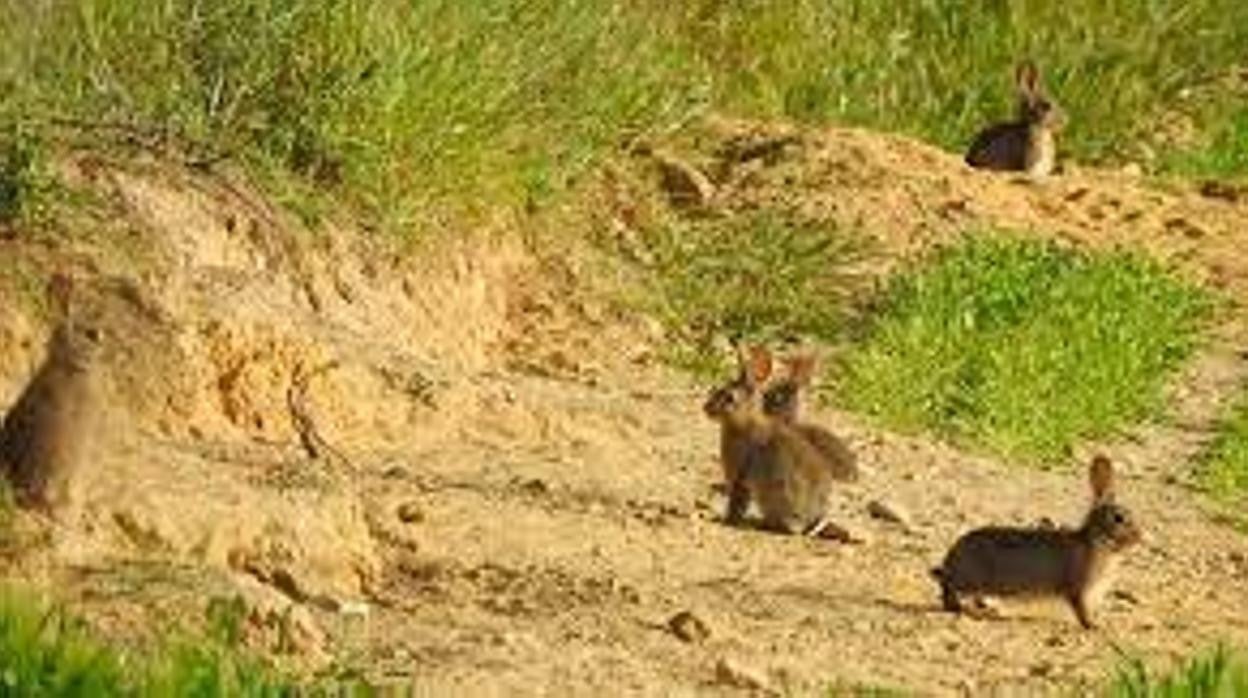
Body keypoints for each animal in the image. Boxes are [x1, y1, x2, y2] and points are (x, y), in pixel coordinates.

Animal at [703, 344, 838, 534]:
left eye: (729, 398)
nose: (706, 408)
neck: (745, 422)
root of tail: (811, 521)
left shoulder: (740, 475)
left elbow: (737, 501)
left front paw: (726, 520)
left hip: (774, 493)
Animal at [933, 457, 1143, 631]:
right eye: (1118, 518)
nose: (1139, 537)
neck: (1097, 541)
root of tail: (950, 558)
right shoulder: (1077, 588)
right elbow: (1080, 609)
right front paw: (1094, 626)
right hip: (970, 579)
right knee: (947, 586)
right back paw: (958, 607)